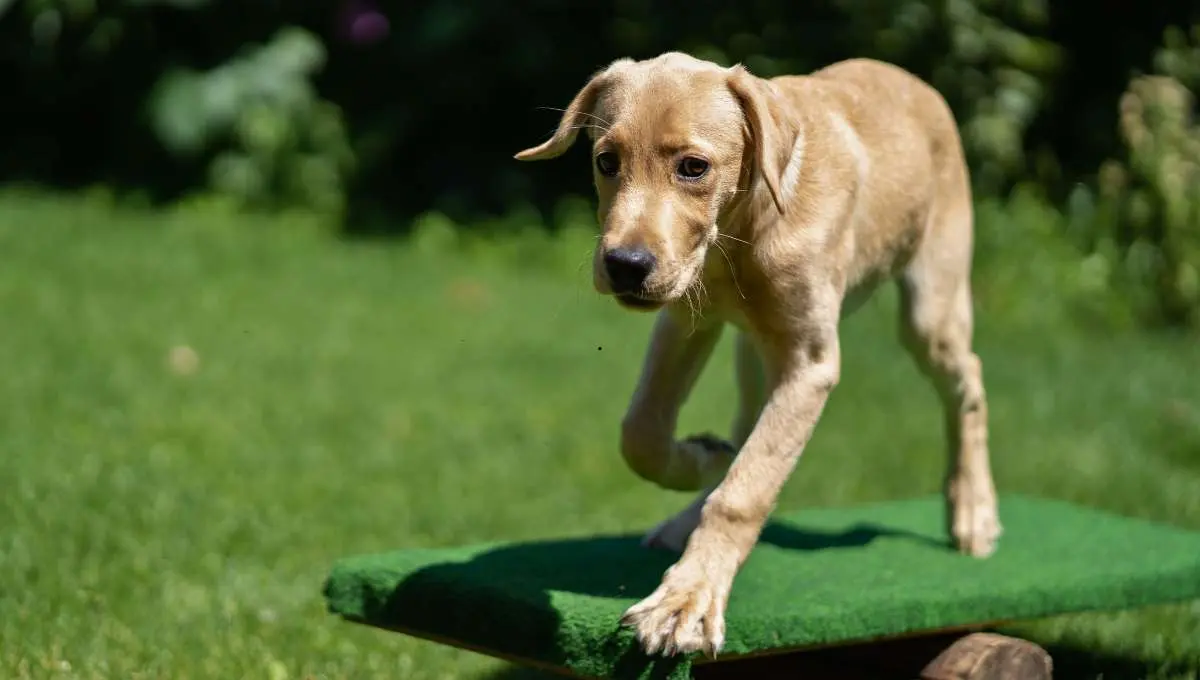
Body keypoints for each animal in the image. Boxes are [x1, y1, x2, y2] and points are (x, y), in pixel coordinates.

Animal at [511, 51, 998, 662]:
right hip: (752, 354)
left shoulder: (810, 363)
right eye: (606, 161)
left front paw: (686, 605)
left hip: (931, 307)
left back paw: (974, 512)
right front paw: (700, 460)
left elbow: (747, 490)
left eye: (694, 167)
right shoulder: (684, 319)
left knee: (968, 382)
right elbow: (641, 431)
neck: (737, 235)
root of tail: (911, 80)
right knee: (744, 426)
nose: (624, 265)